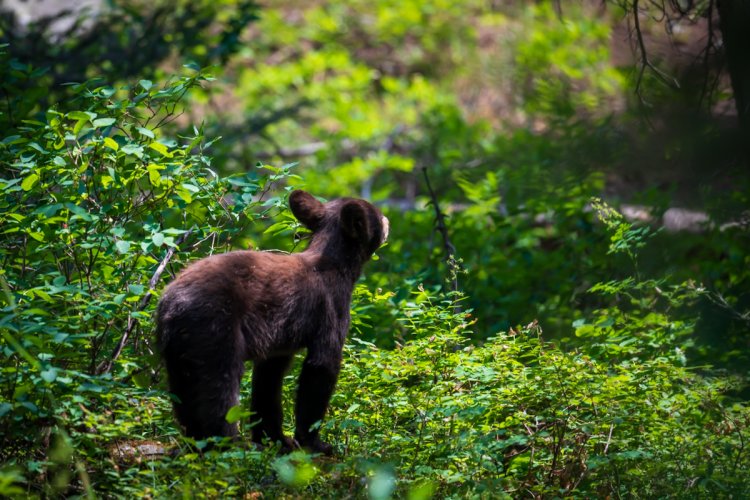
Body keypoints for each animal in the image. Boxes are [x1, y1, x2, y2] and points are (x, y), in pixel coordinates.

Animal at [156, 189, 390, 456]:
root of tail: (170, 302)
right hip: (214, 326)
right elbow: (322, 366)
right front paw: (314, 442)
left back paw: (194, 442)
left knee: (183, 390)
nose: (388, 221)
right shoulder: (331, 308)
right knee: (218, 384)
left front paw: (275, 438)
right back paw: (227, 443)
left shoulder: (280, 337)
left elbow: (268, 380)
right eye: (378, 214)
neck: (340, 265)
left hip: (177, 347)